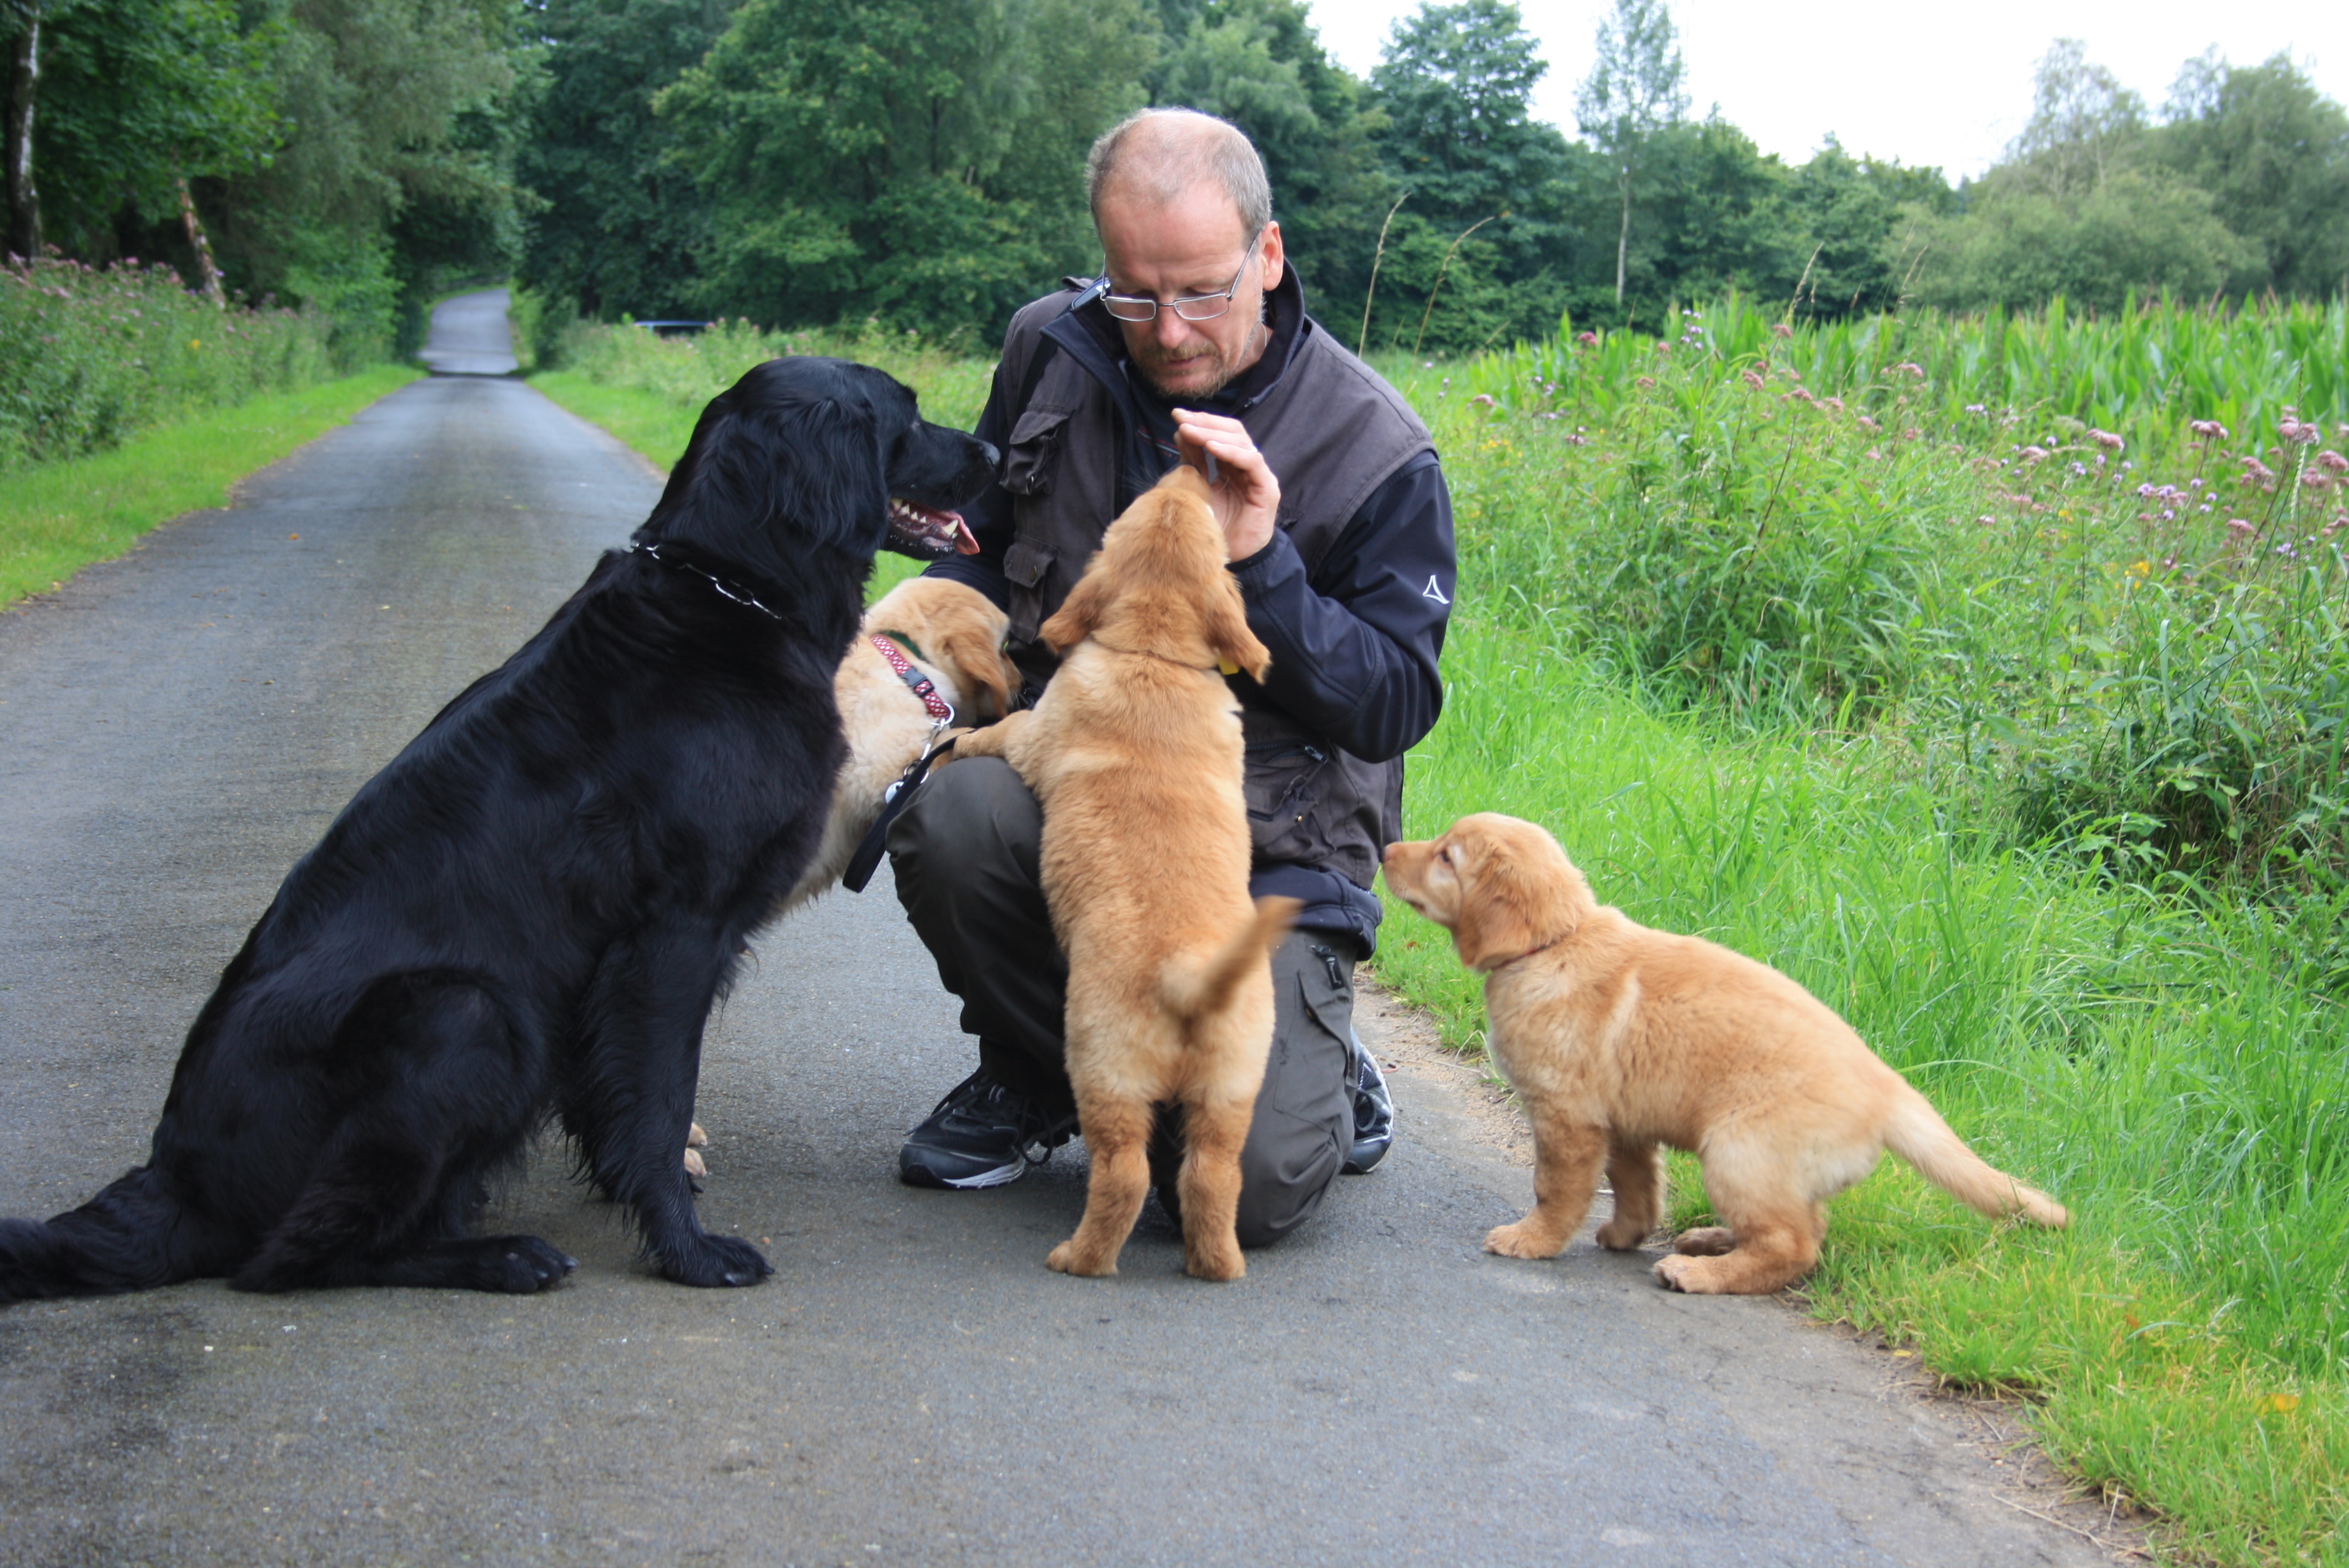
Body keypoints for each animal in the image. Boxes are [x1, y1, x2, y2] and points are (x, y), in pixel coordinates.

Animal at [0, 356, 994, 1302]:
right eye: (905, 414)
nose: (991, 452)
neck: (727, 594)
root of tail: (179, 1183)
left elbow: (617, 1103)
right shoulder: (676, 928)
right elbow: (658, 1102)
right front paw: (687, 1250)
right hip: (467, 1011)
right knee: (296, 1254)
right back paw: (505, 1257)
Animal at [949, 467, 1298, 1281]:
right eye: (1185, 506)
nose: (1188, 467)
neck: (1153, 652)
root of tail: (1191, 978)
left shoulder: (1034, 733)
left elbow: (1002, 729)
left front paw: (957, 740)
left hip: (1103, 1066)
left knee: (1125, 1174)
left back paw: (1078, 1259)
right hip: (1232, 1090)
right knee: (1210, 1175)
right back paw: (1217, 1266)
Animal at [1381, 813, 2068, 1294]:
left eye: (1446, 856)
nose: (1386, 850)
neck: (1555, 942)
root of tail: (1888, 1088)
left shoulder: (1568, 1117)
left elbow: (1555, 1189)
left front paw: (1532, 1240)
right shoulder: (1623, 1120)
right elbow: (1635, 1185)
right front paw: (1626, 1233)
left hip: (1742, 1152)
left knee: (1793, 1246)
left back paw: (1699, 1273)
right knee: (1805, 1229)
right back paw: (1709, 1242)